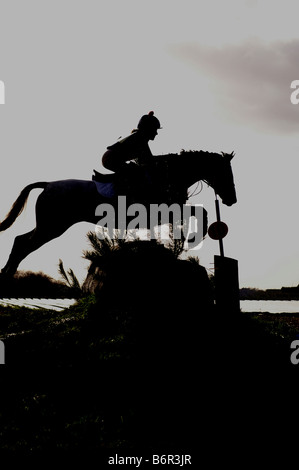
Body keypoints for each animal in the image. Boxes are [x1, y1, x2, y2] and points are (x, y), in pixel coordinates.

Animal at [0, 150, 238, 276]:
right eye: (225, 173)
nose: (232, 200)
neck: (167, 176)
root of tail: (48, 184)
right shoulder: (165, 211)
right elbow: (199, 211)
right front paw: (192, 236)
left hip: (49, 225)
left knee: (20, 240)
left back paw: (7, 274)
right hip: (53, 226)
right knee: (24, 244)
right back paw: (8, 275)